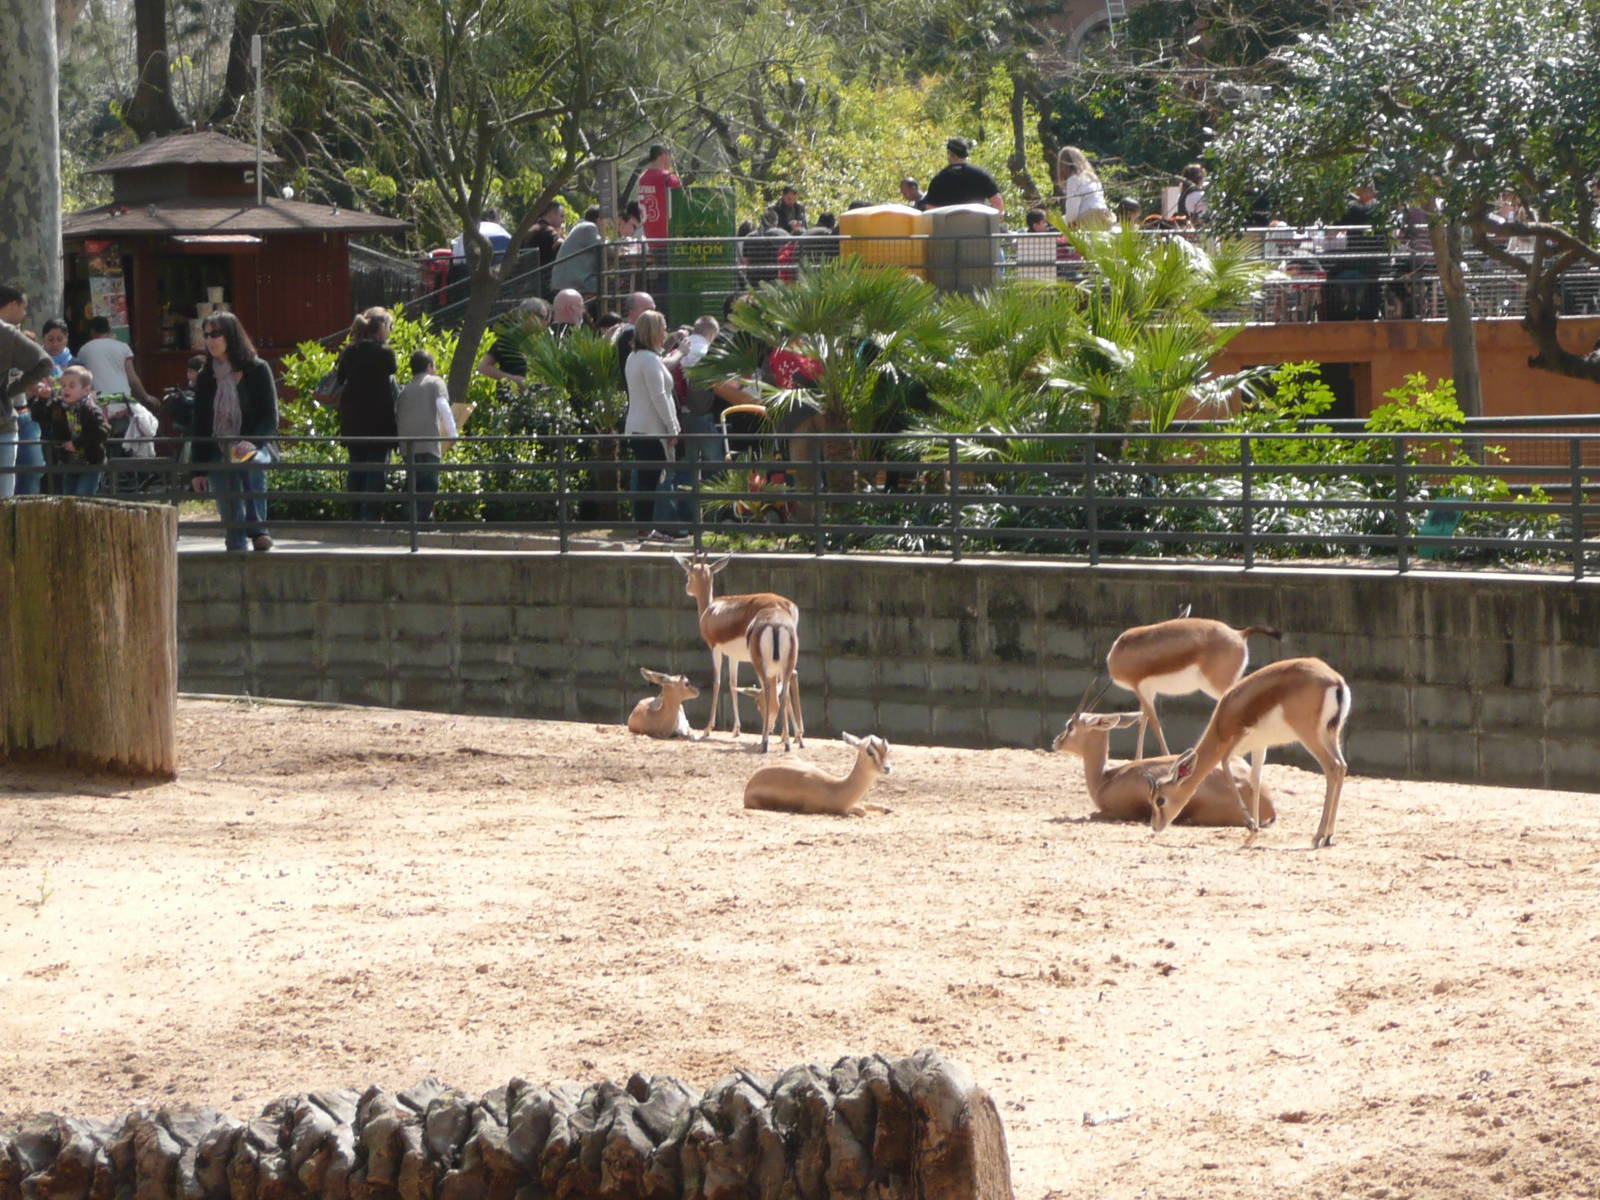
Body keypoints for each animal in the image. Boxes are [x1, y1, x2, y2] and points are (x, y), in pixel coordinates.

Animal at [675, 553, 803, 742]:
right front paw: (736, 729)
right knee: (791, 676)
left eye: (688, 574)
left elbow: (717, 682)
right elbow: (733, 684)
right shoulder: (733, 656)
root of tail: (787, 605)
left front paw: (707, 728)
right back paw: (793, 735)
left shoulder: (715, 649)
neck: (710, 611)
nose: (686, 587)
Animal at [743, 733, 892, 816]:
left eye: (888, 749)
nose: (887, 768)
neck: (834, 788)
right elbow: (861, 810)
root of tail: (750, 783)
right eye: (870, 751)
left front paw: (887, 809)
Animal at [1106, 616, 1284, 758]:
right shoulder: (1148, 692)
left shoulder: (1140, 689)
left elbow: (1154, 724)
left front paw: (1166, 756)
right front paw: (1138, 759)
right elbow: (1143, 723)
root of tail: (1239, 634)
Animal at [1150, 657, 1352, 848]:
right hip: (1330, 734)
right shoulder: (1259, 746)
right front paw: (1251, 838)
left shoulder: (1232, 746)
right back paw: (1328, 837)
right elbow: (1255, 781)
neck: (1222, 721)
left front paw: (1251, 826)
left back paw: (1318, 837)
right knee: (1342, 766)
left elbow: (1227, 771)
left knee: (1332, 767)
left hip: (1309, 735)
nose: (1154, 826)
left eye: (1160, 800)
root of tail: (1335, 681)